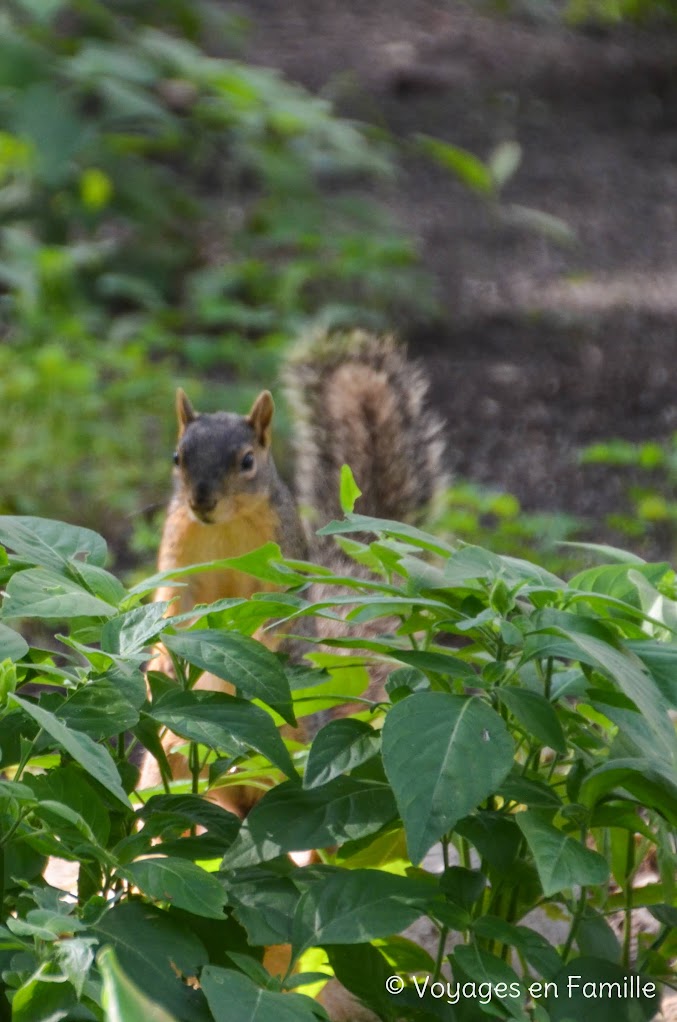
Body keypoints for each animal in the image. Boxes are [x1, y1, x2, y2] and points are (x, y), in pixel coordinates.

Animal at [140, 331, 447, 809]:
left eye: (247, 461)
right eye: (177, 457)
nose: (202, 501)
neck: (223, 528)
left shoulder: (277, 566)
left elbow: (274, 612)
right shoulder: (178, 563)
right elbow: (172, 607)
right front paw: (167, 662)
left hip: (292, 746)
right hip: (174, 760)